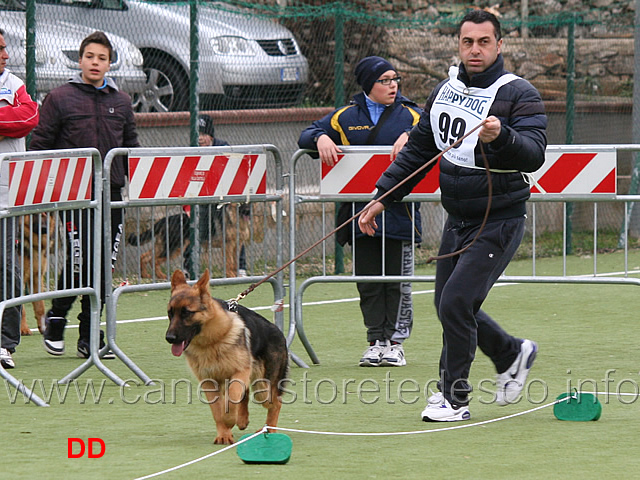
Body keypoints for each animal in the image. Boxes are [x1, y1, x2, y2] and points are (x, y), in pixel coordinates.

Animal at [165, 268, 288, 444]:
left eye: (186, 313)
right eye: (170, 313)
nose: (169, 338)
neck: (212, 341)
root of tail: (278, 331)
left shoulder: (239, 372)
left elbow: (233, 397)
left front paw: (229, 419)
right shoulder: (209, 381)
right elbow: (217, 409)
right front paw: (224, 433)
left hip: (263, 389)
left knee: (275, 403)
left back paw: (269, 429)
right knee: (247, 394)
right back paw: (243, 420)